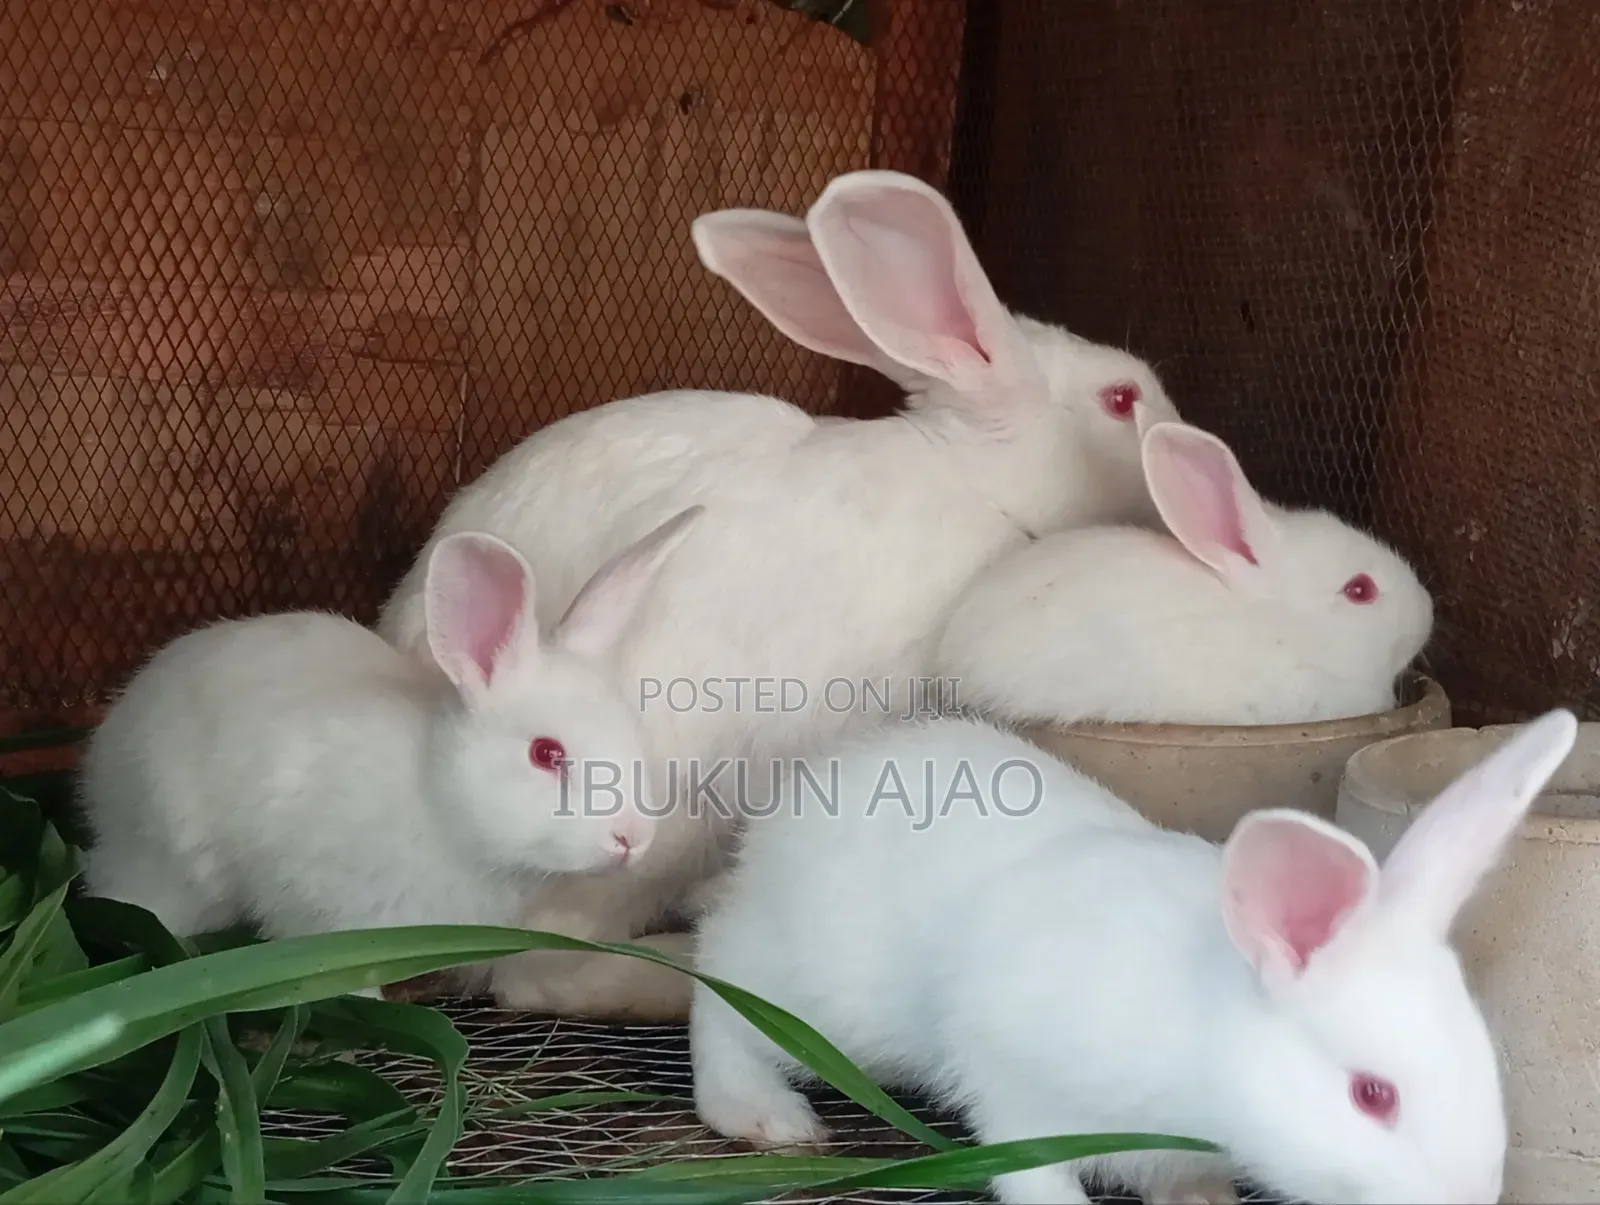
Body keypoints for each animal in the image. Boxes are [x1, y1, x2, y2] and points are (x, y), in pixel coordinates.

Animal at [690, 708, 1578, 1205]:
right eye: (1372, 1094)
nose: (1472, 1197)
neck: (1205, 1034)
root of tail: (800, 793)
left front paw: (1204, 1199)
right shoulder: (1012, 1077)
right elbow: (1032, 1172)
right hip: (822, 991)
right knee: (718, 984)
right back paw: (764, 1114)